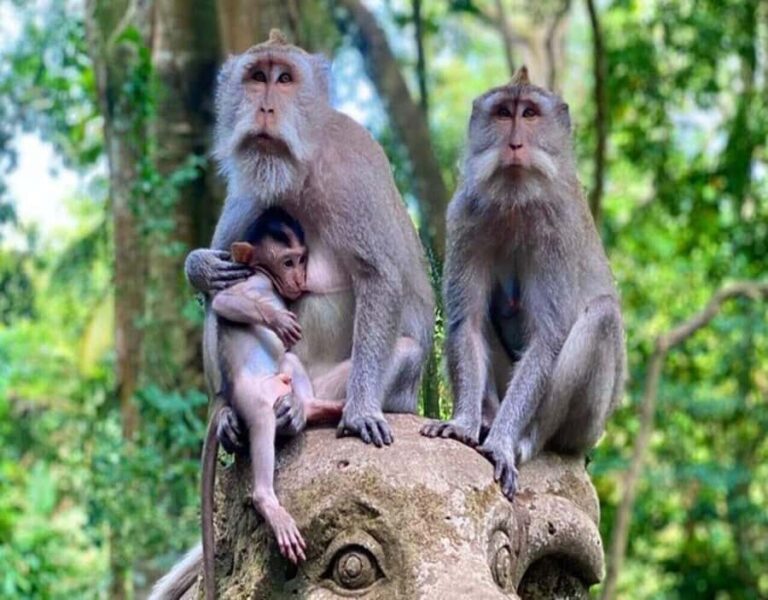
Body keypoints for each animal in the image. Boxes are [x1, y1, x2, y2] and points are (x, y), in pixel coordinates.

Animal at [184, 29, 434, 451]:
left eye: (285, 79)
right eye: (257, 77)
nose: (266, 108)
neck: (296, 171)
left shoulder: (352, 172)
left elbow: (379, 276)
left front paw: (362, 410)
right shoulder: (248, 194)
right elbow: (218, 281)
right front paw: (199, 266)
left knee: (403, 352)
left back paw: (301, 412)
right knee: (223, 299)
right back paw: (231, 414)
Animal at [421, 67, 626, 501]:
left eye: (529, 113)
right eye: (503, 113)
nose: (514, 143)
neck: (515, 202)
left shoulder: (557, 231)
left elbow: (547, 340)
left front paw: (501, 444)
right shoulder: (464, 217)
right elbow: (468, 325)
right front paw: (463, 424)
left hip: (588, 428)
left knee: (602, 317)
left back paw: (525, 440)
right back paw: (485, 417)